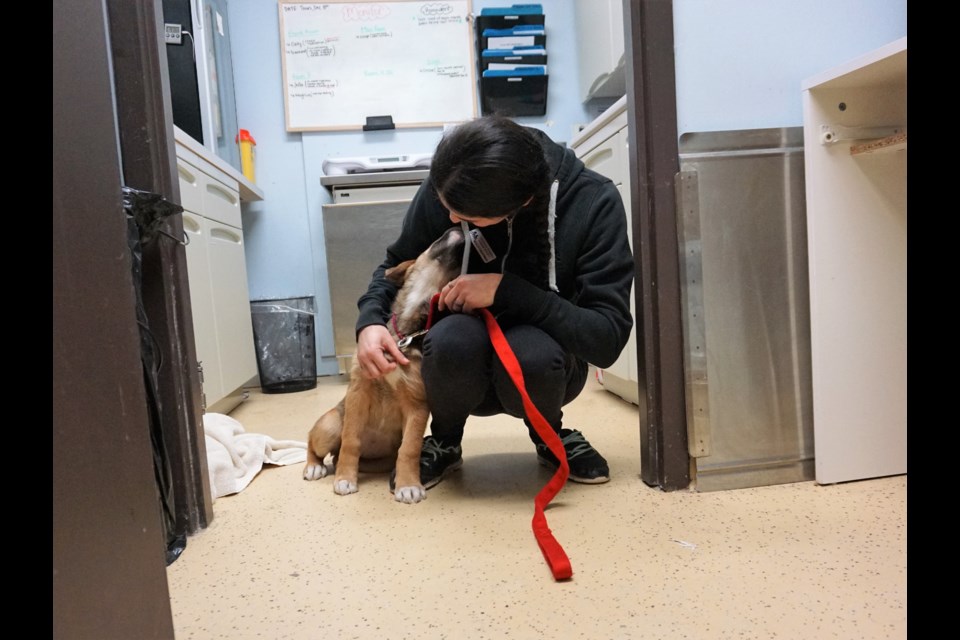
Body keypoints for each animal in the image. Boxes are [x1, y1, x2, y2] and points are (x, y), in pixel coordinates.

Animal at [302, 228, 464, 502]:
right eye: (435, 240)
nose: (459, 228)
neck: (403, 336)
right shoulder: (358, 393)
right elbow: (351, 441)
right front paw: (345, 479)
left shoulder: (417, 405)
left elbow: (409, 448)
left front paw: (408, 485)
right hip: (330, 426)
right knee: (315, 443)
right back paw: (314, 466)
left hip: (381, 457)